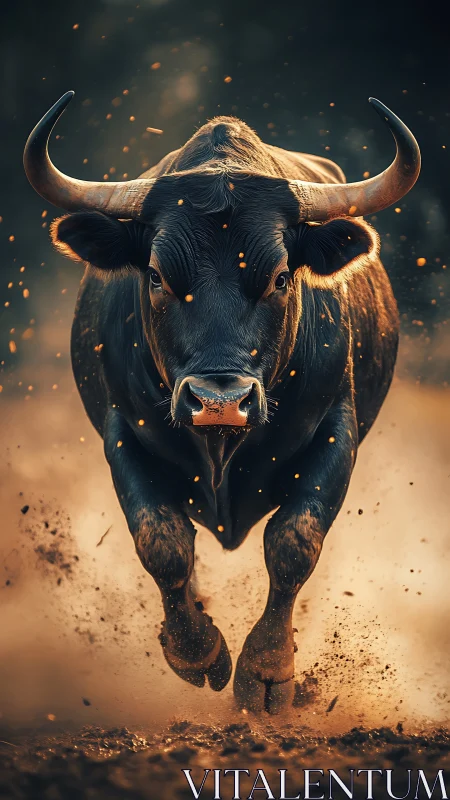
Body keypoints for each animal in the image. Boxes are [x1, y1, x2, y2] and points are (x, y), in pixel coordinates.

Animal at [24, 92, 420, 713]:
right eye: (156, 276)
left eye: (280, 276)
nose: (219, 401)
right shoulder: (122, 432)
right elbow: (161, 541)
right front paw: (196, 650)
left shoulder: (338, 430)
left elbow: (294, 542)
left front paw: (267, 671)